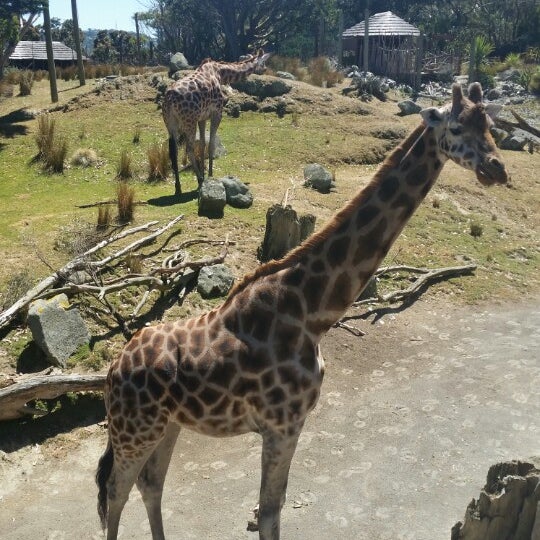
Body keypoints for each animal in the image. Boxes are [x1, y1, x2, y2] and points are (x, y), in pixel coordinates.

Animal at [99, 81, 508, 540]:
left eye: (490, 126)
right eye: (456, 127)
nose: (497, 169)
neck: (313, 311)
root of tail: (112, 369)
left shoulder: (287, 425)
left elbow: (270, 509)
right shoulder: (282, 424)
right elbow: (269, 513)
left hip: (165, 424)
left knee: (150, 485)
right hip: (134, 428)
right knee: (115, 490)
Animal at [160, 49, 270, 195]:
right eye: (263, 61)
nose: (265, 69)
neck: (221, 74)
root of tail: (169, 99)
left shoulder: (202, 117)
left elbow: (202, 144)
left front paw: (205, 174)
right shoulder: (217, 112)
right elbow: (211, 144)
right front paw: (210, 176)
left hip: (170, 123)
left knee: (174, 151)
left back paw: (178, 188)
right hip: (189, 121)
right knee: (188, 149)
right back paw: (199, 180)